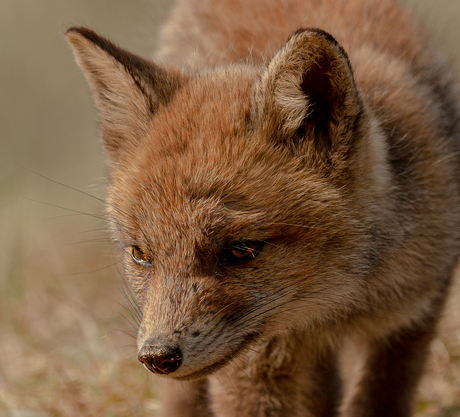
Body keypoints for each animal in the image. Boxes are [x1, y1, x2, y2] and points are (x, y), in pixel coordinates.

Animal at [64, 0, 460, 414]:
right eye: (140, 254)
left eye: (240, 250)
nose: (158, 356)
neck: (331, 306)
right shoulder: (255, 361)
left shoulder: (415, 312)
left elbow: (380, 397)